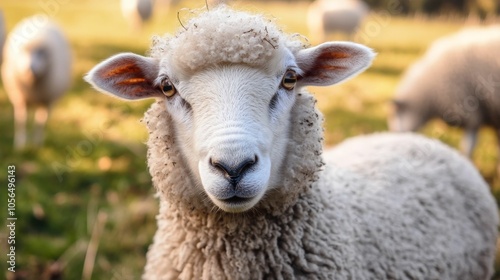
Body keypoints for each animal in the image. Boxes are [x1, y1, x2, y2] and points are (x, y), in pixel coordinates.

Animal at [1, 15, 72, 149]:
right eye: (24, 52)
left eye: (41, 53)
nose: (30, 69)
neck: (32, 84)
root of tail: (40, 16)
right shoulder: (20, 98)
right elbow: (21, 121)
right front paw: (20, 144)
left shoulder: (47, 101)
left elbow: (41, 122)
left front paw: (37, 143)